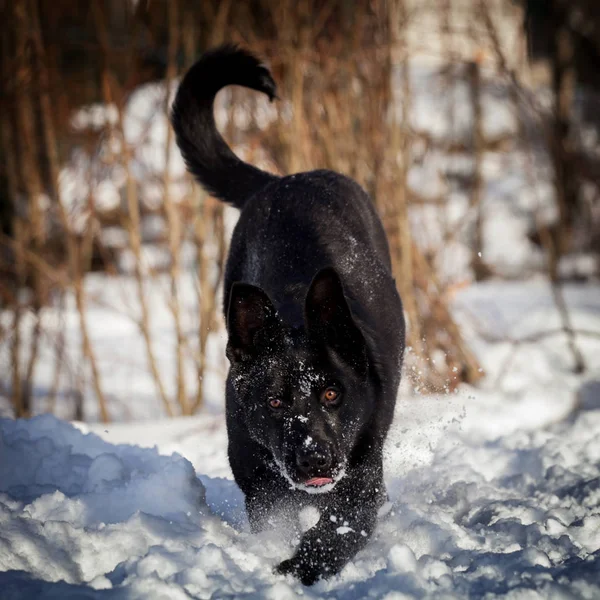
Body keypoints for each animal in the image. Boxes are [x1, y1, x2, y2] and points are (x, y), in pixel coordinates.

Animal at [173, 45, 408, 584]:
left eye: (332, 393)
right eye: (275, 402)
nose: (315, 457)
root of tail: (286, 179)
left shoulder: (362, 474)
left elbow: (336, 530)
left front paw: (300, 567)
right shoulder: (259, 480)